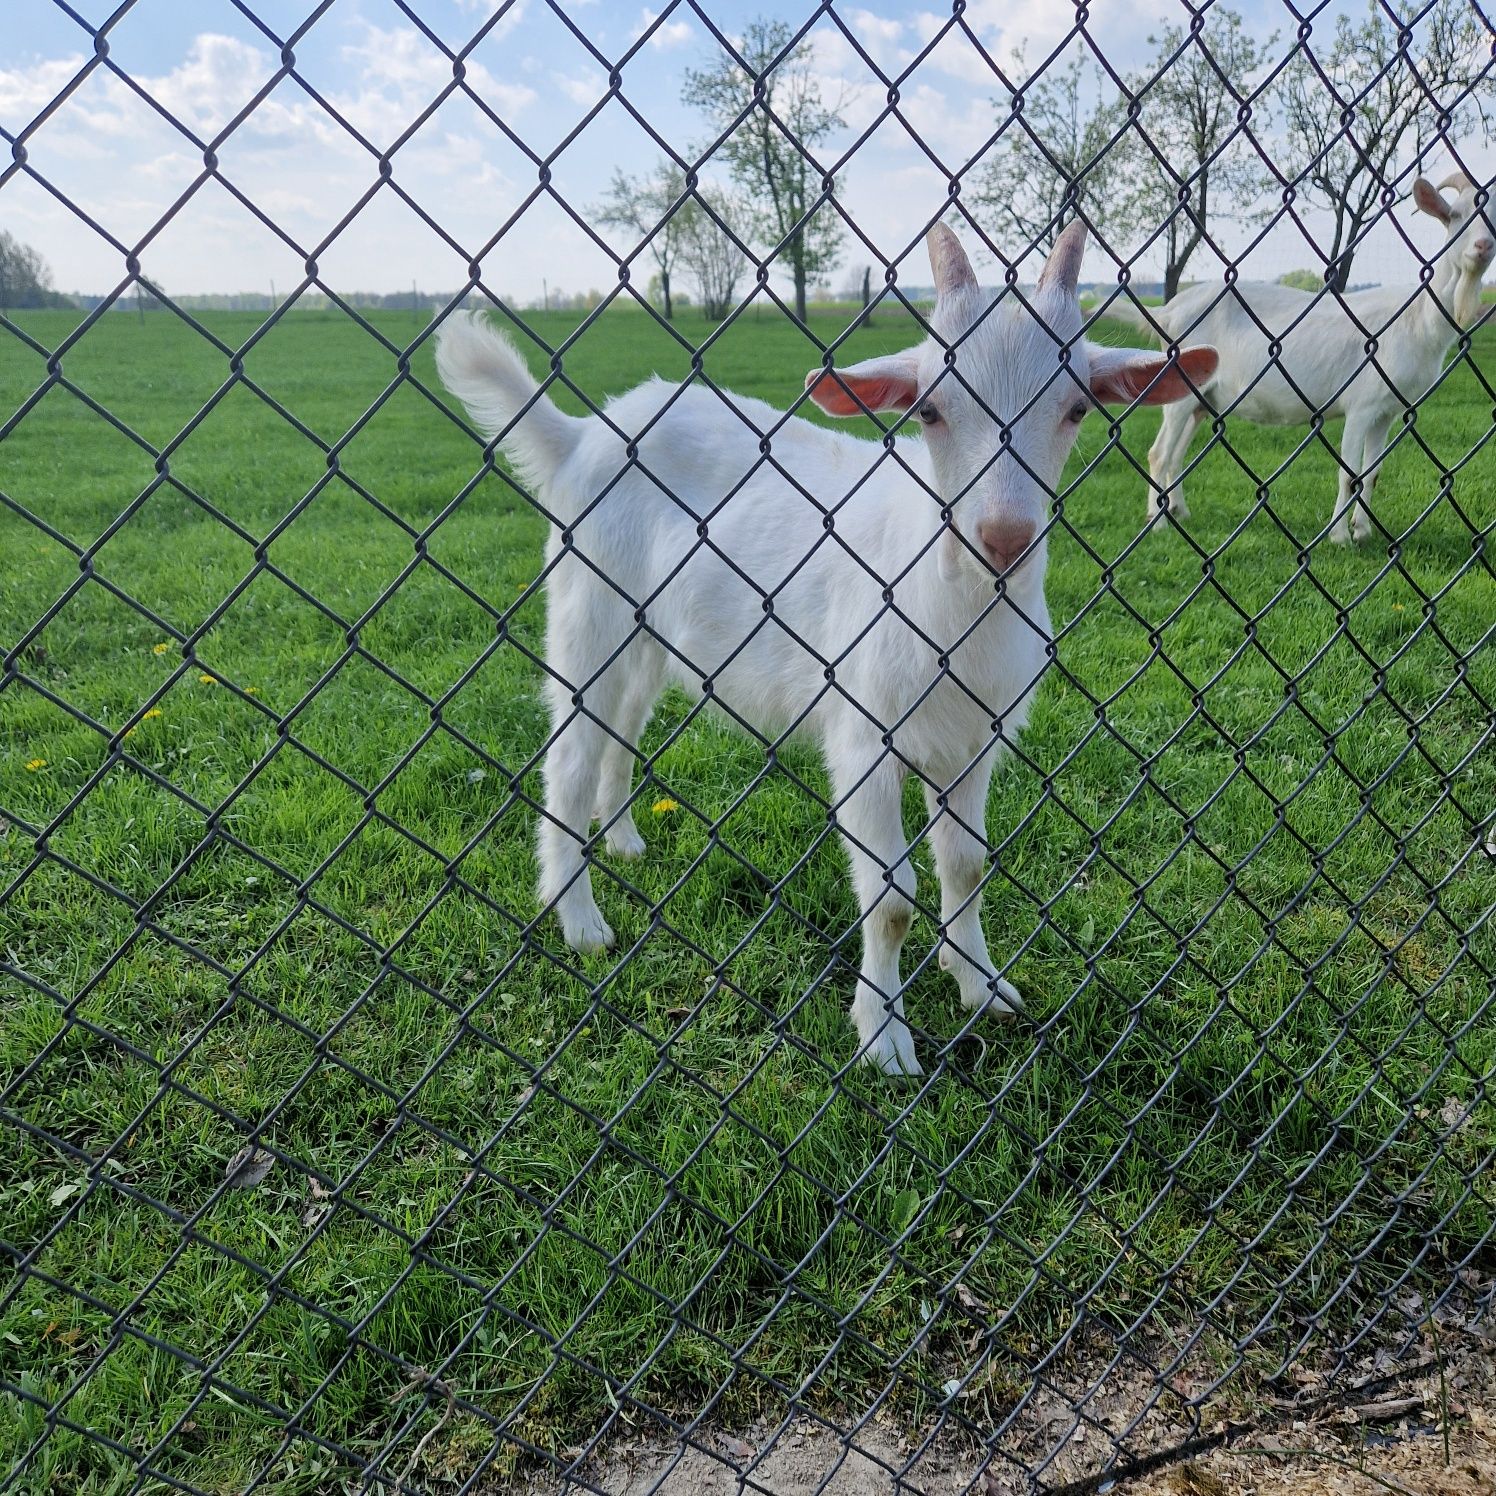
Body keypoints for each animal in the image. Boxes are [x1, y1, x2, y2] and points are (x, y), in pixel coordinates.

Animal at [433, 221, 1214, 1077]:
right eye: (930, 411)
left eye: (1076, 407)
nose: (1003, 537)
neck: (954, 607)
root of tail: (581, 436)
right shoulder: (864, 739)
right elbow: (893, 899)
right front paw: (885, 1037)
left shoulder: (974, 742)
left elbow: (968, 864)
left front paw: (980, 985)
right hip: (589, 608)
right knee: (570, 752)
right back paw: (578, 919)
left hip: (647, 633)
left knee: (622, 730)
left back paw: (626, 840)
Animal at [1124, 173, 1496, 544]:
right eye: (1455, 215)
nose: (1483, 246)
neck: (1417, 319)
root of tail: (1169, 311)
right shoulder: (1362, 404)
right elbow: (1350, 474)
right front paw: (1341, 538)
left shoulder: (1388, 410)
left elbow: (1372, 473)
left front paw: (1363, 532)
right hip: (1182, 386)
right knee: (1159, 453)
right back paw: (1156, 522)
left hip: (1204, 400)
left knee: (1176, 454)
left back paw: (1179, 511)